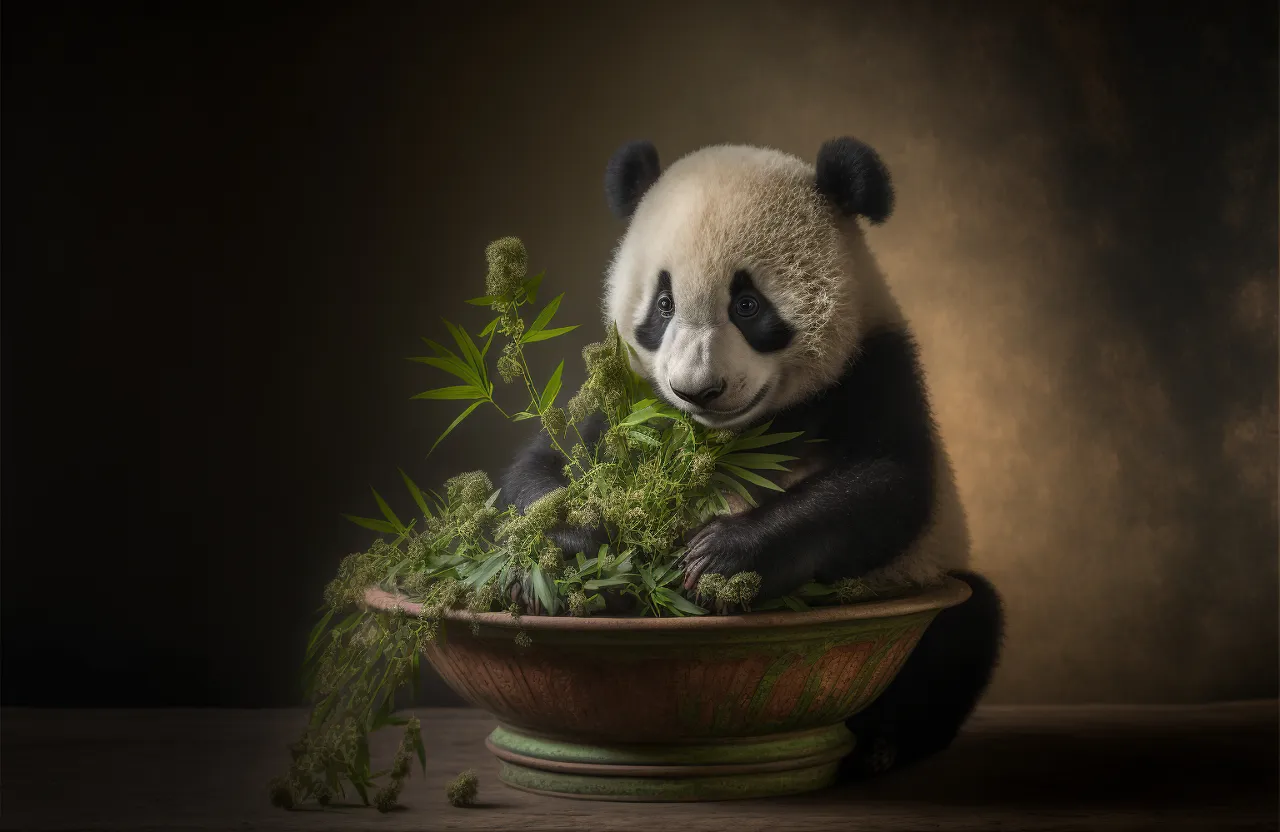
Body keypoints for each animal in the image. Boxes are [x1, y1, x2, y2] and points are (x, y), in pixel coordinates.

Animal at [504, 133, 1003, 773]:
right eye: (663, 305)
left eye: (747, 305)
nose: (698, 390)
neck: (731, 437)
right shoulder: (627, 399)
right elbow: (543, 465)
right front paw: (580, 547)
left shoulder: (874, 367)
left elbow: (889, 485)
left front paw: (718, 558)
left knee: (964, 627)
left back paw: (881, 745)